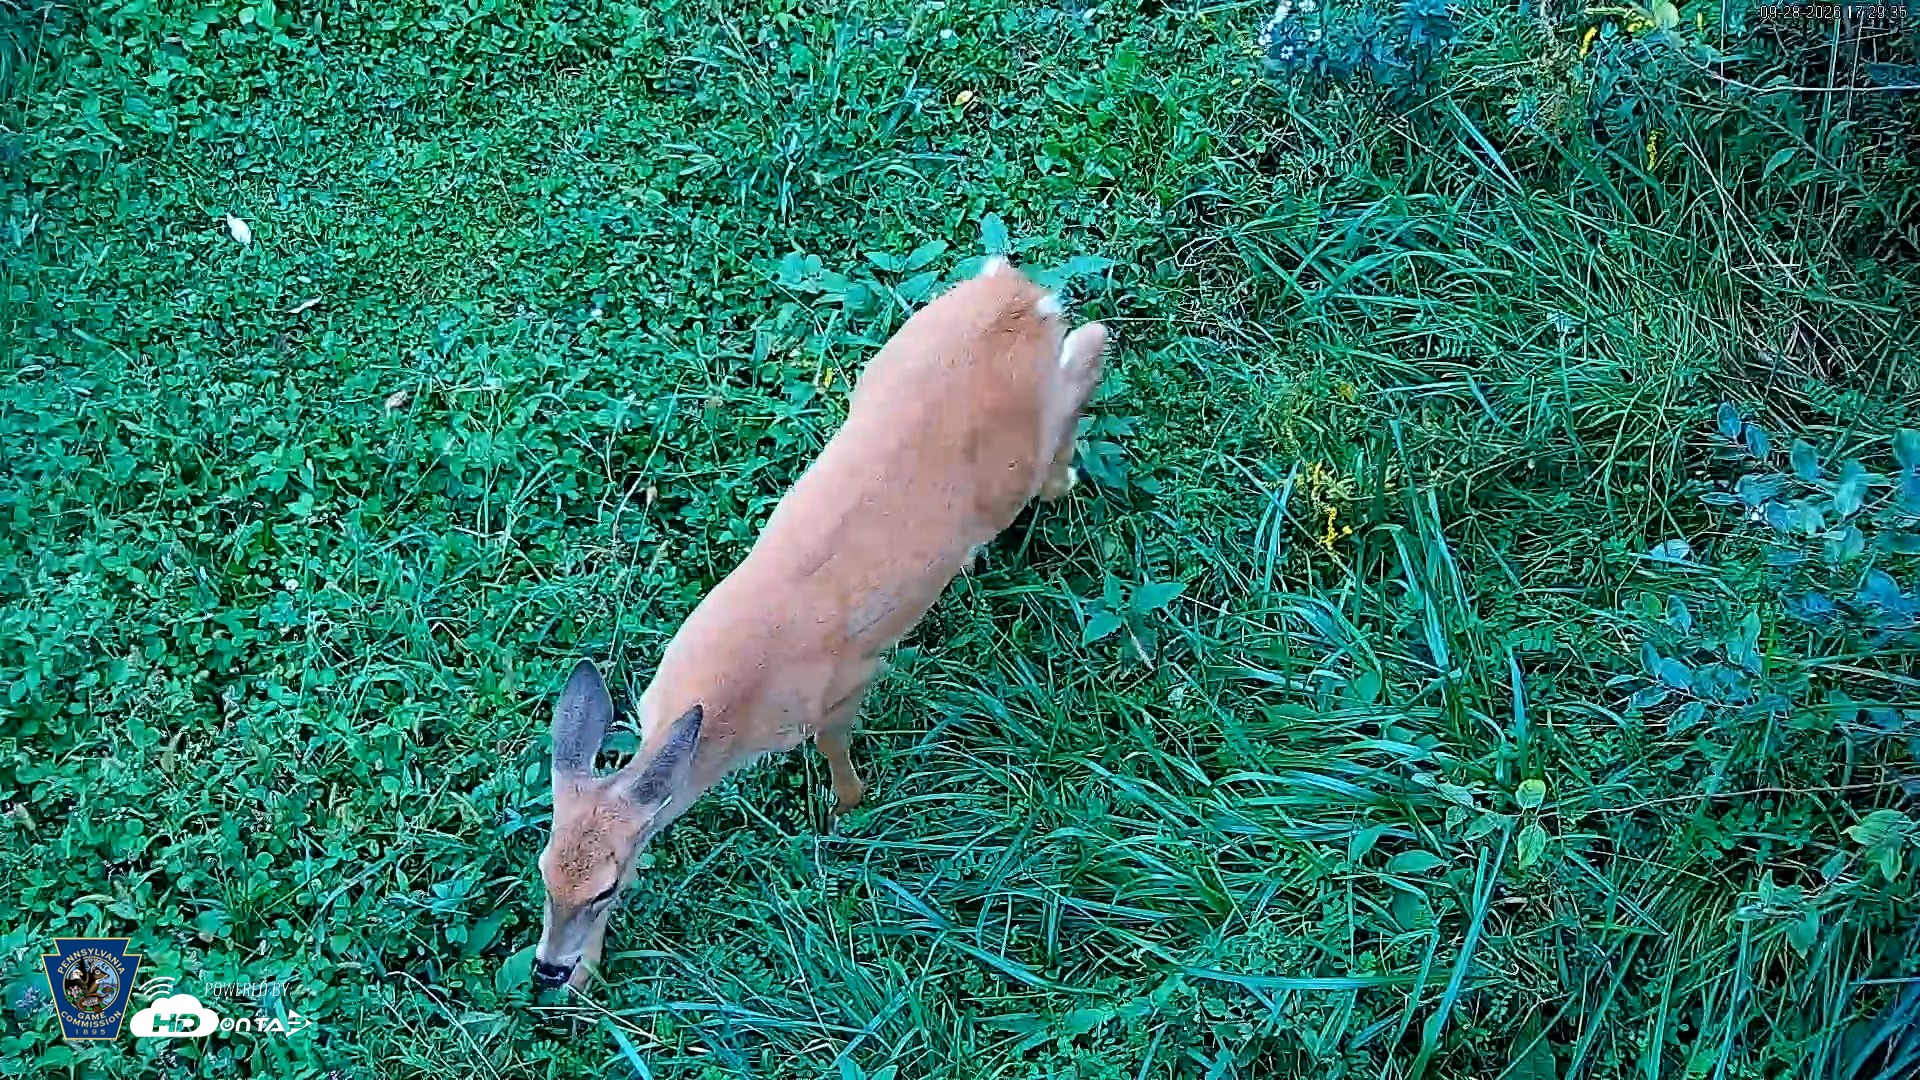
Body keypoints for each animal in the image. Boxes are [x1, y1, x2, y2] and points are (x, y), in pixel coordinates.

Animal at [531, 258, 1108, 990]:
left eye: (605, 886)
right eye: (544, 870)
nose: (548, 969)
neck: (728, 706)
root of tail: (1018, 295)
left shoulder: (846, 680)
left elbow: (836, 744)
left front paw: (848, 805)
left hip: (1019, 457)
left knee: (1088, 352)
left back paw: (1061, 480)